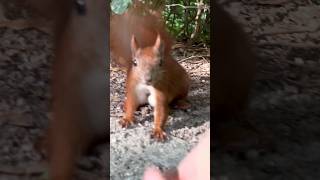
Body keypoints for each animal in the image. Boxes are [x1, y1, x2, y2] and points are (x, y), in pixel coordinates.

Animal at [110, 7, 190, 141]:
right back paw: (124, 105)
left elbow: (161, 110)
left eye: (160, 63)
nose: (148, 79)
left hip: (184, 83)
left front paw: (157, 130)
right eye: (134, 62)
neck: (146, 85)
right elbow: (131, 102)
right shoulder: (133, 87)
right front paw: (127, 118)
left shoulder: (161, 89)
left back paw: (181, 103)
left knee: (180, 96)